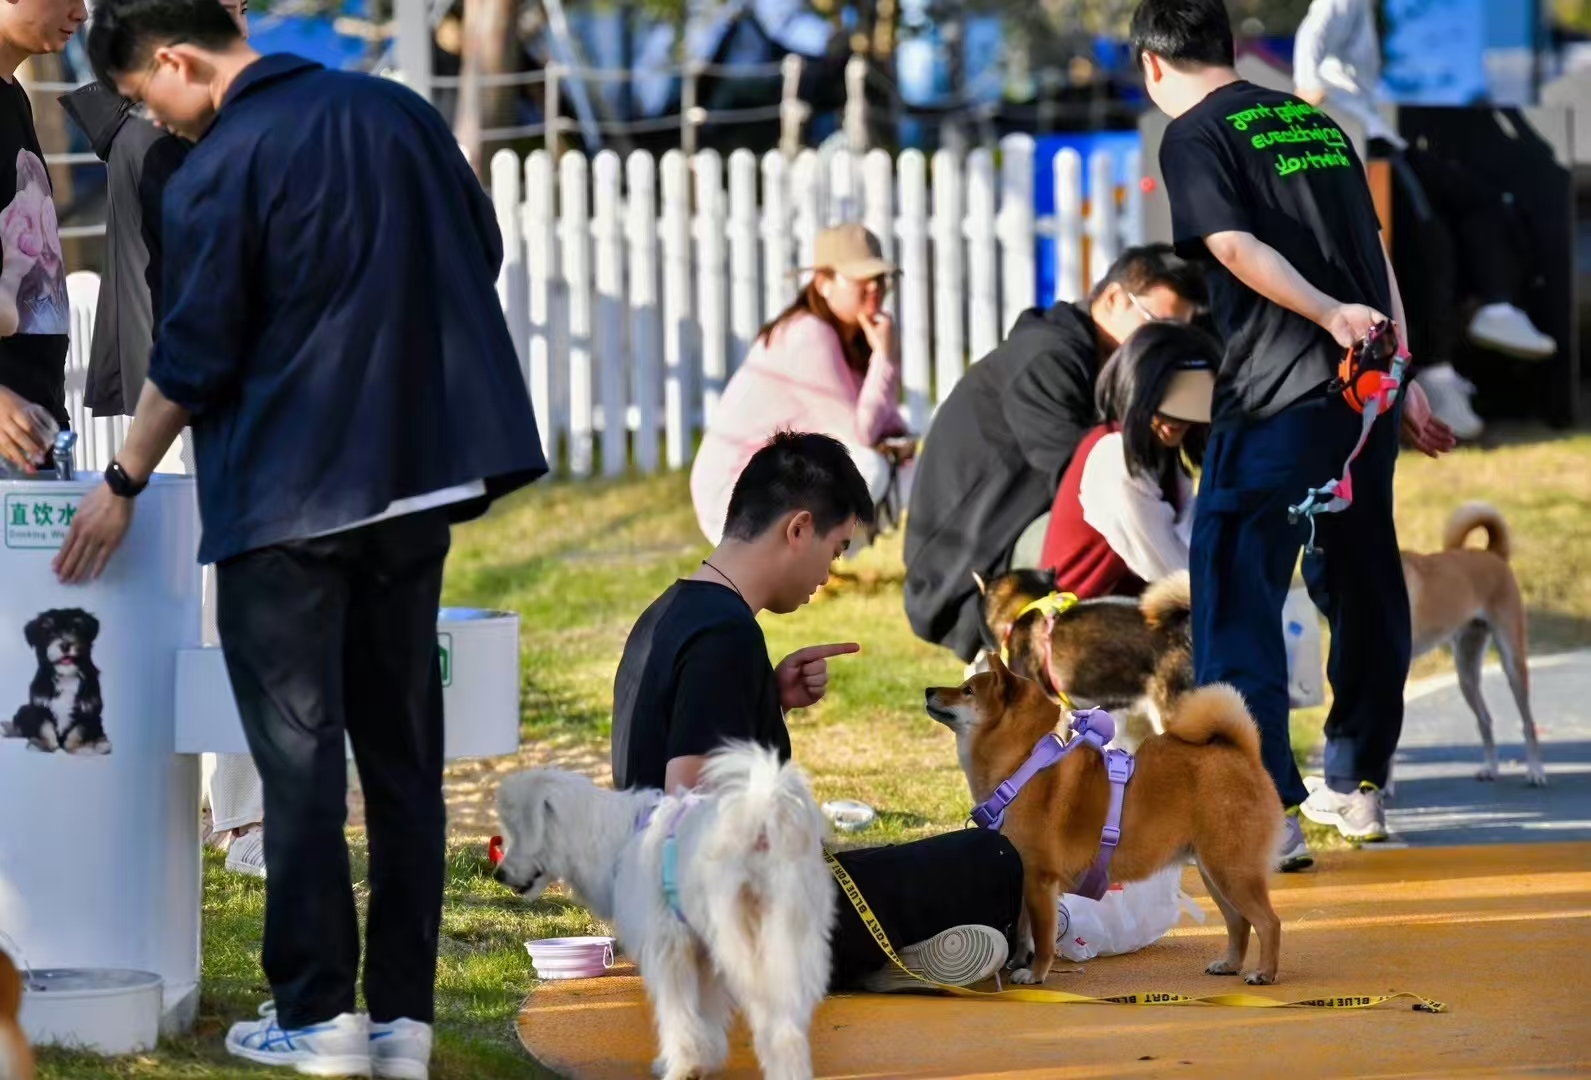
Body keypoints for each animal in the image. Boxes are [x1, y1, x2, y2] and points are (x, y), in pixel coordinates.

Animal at [1, 609, 107, 755]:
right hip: (25, 709)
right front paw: (45, 745)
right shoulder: (40, 706)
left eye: (76, 628)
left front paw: (77, 748)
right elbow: (45, 727)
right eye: (50, 632)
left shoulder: (89, 711)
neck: (66, 676)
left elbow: (78, 730)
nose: (65, 645)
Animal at [494, 744, 834, 1080]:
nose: (498, 874)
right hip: (786, 943)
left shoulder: (669, 952)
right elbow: (705, 1012)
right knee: (785, 1024)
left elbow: (678, 1015)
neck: (618, 839)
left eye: (515, 830)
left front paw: (682, 1066)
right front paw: (703, 1059)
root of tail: (760, 821)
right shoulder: (702, 955)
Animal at [927, 657, 1283, 986]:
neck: (1023, 765)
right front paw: (1017, 962)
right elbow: (1026, 930)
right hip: (1216, 873)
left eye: (967, 690)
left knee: (1268, 923)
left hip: (1232, 871)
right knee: (1239, 922)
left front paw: (1036, 974)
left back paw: (1264, 973)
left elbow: (1042, 937)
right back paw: (1230, 965)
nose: (929, 690)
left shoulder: (1040, 880)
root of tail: (1244, 753)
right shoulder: (1027, 877)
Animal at [1402, 502, 1543, 785]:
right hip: (1466, 671)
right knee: (1485, 720)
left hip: (1513, 664)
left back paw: (1535, 771)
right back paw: (1491, 767)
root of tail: (1492, 554)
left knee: (1527, 723)